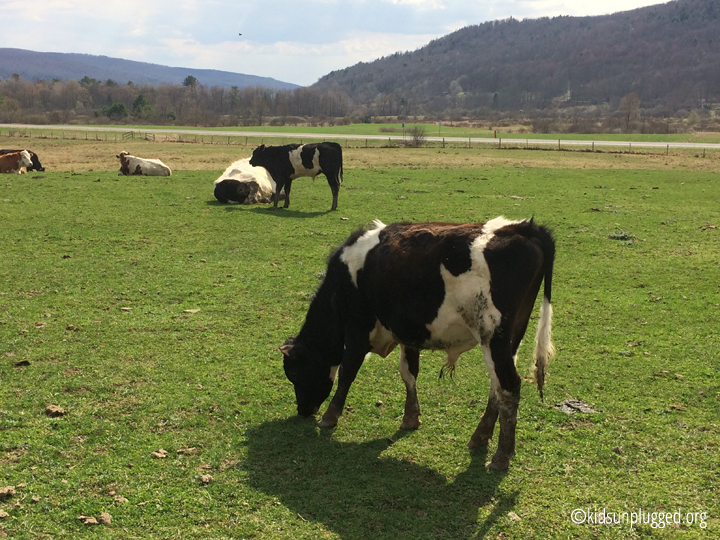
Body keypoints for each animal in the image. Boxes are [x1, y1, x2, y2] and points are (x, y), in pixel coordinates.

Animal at [278, 217, 556, 470]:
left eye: (294, 373)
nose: (303, 410)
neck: (342, 280)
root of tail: (523, 228)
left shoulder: (357, 330)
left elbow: (347, 373)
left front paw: (329, 416)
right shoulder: (408, 332)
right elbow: (408, 372)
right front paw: (411, 417)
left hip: (492, 336)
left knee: (508, 386)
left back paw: (501, 456)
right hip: (510, 339)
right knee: (496, 385)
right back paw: (480, 436)